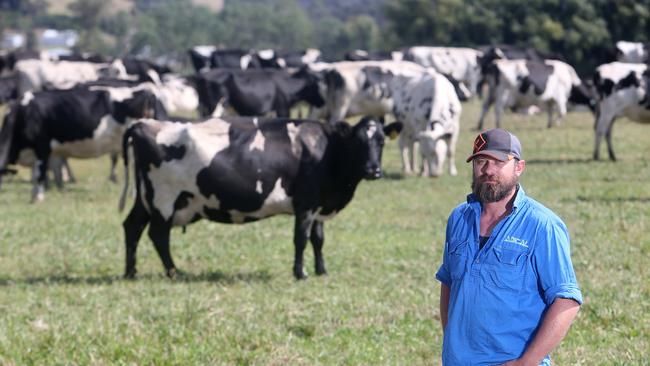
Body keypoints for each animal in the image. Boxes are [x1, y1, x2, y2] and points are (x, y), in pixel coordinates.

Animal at [0, 84, 157, 202]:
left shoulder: (42, 146)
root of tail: (144, 91)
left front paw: (38, 198)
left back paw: (135, 196)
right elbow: (38, 173)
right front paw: (36, 195)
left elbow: (40, 173)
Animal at [116, 116, 400, 278]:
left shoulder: (319, 204)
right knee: (158, 235)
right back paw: (174, 272)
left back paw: (131, 272)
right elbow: (301, 239)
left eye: (382, 141)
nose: (373, 170)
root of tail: (143, 123)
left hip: (145, 200)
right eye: (358, 142)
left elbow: (318, 240)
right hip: (164, 198)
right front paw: (301, 273)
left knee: (132, 227)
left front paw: (322, 271)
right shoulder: (306, 203)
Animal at [192, 66, 324, 117]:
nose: (322, 102)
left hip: (203, 107)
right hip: (217, 106)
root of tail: (203, 75)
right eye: (316, 86)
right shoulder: (282, 109)